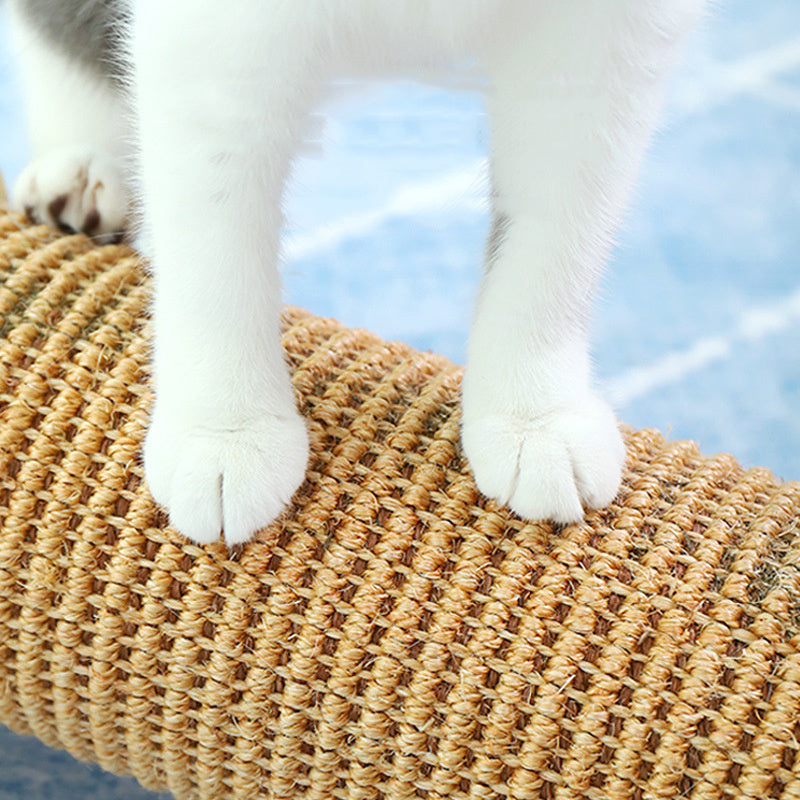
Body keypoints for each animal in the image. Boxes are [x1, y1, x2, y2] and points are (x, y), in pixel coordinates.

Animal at [7, 0, 708, 544]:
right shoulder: (217, 30)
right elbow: (214, 221)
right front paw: (226, 429)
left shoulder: (607, 27)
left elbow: (560, 218)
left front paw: (535, 414)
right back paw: (82, 168)